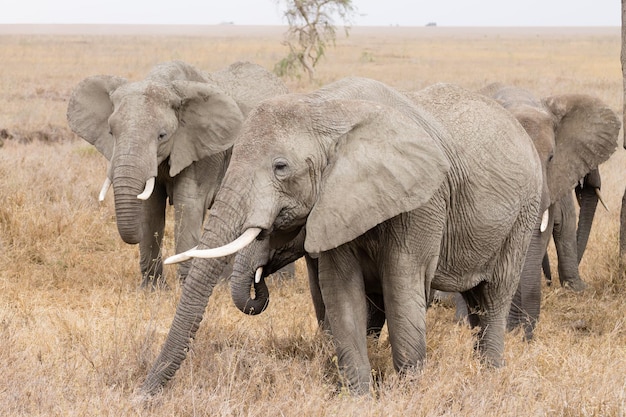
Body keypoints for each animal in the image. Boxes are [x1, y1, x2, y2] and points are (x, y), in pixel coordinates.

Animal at [66, 60, 288, 286]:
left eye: (162, 136)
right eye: (111, 132)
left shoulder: (203, 150)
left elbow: (187, 203)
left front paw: (181, 287)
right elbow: (150, 209)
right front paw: (152, 289)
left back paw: (280, 283)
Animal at [140, 76, 540, 394]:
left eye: (280, 167)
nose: (141, 395)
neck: (329, 110)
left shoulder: (423, 199)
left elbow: (403, 286)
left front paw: (408, 394)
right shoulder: (333, 204)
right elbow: (342, 292)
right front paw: (359, 397)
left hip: (524, 213)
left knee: (493, 297)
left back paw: (490, 377)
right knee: (474, 303)